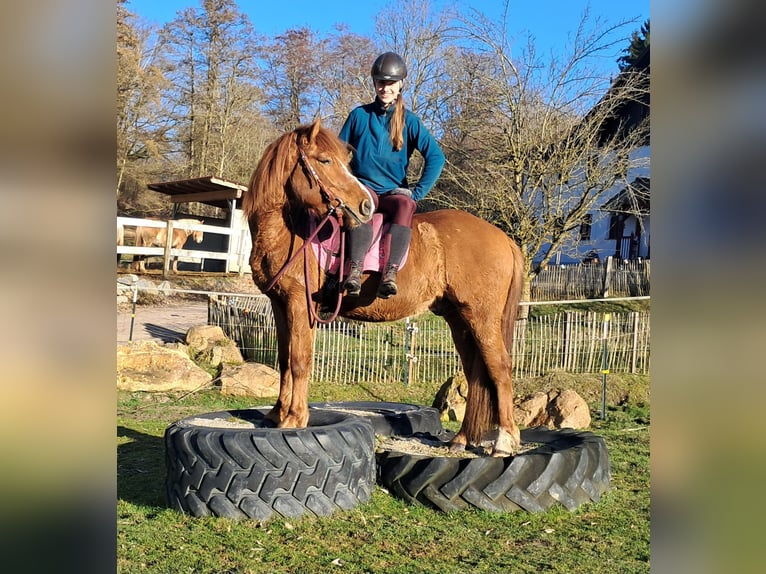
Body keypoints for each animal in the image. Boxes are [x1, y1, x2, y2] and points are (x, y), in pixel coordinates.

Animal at [242, 119, 526, 457]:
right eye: (325, 160)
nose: (364, 205)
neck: (291, 231)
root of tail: (503, 238)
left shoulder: (301, 304)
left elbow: (299, 360)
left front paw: (294, 419)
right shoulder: (280, 303)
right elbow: (284, 359)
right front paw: (276, 414)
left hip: (482, 317)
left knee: (500, 369)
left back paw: (504, 441)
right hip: (459, 318)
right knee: (474, 371)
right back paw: (461, 439)